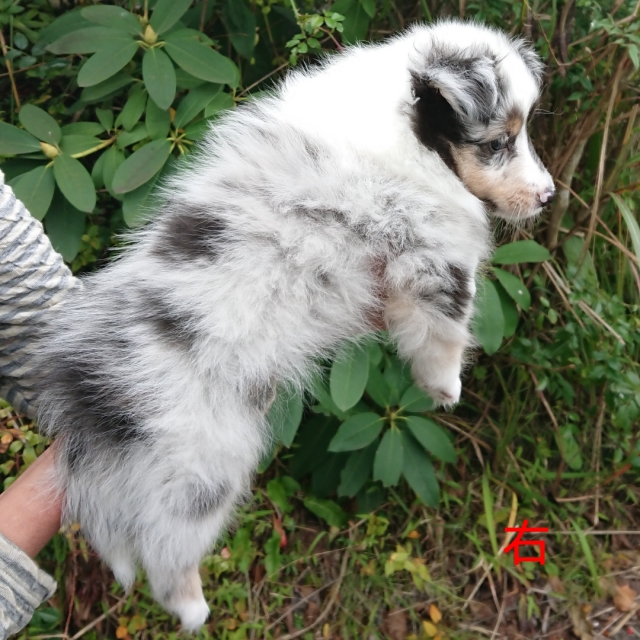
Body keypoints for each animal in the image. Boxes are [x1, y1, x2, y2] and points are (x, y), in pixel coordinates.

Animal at [36, 19, 554, 630]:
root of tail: (89, 389)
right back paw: (192, 607)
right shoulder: (432, 254)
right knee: (165, 546)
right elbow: (445, 326)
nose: (548, 195)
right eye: (496, 143)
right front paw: (444, 386)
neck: (408, 130)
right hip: (202, 466)